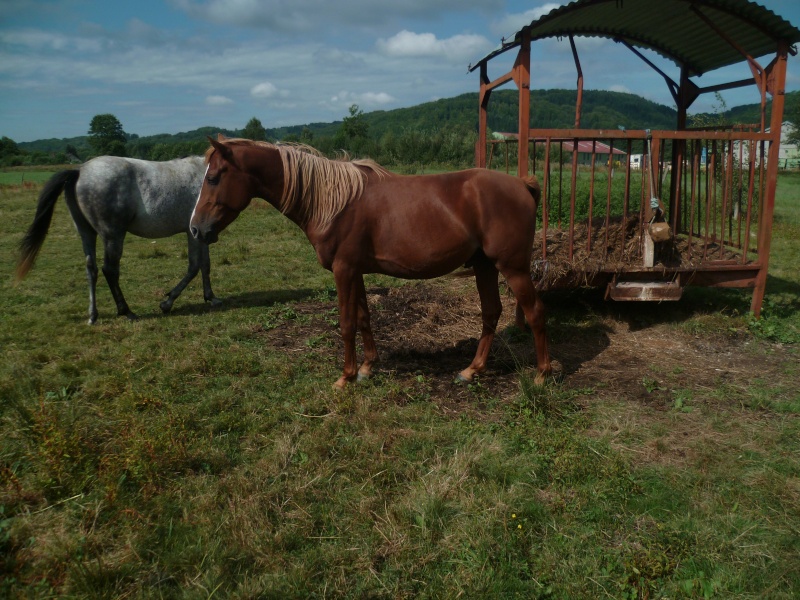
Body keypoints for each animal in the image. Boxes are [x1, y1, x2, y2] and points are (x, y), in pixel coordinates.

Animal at [16, 155, 222, 324]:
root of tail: (80, 171)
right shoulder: (192, 232)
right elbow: (194, 266)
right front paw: (167, 302)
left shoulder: (200, 233)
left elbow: (205, 264)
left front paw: (211, 297)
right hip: (113, 236)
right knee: (110, 270)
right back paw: (126, 311)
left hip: (87, 233)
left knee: (91, 268)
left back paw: (93, 316)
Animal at [190, 137, 552, 390]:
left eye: (214, 177)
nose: (196, 229)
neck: (333, 202)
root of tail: (522, 184)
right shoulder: (356, 271)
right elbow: (364, 318)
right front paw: (366, 368)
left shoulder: (343, 270)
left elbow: (346, 323)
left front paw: (345, 377)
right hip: (484, 265)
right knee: (491, 312)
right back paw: (471, 370)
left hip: (513, 268)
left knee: (535, 312)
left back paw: (542, 375)